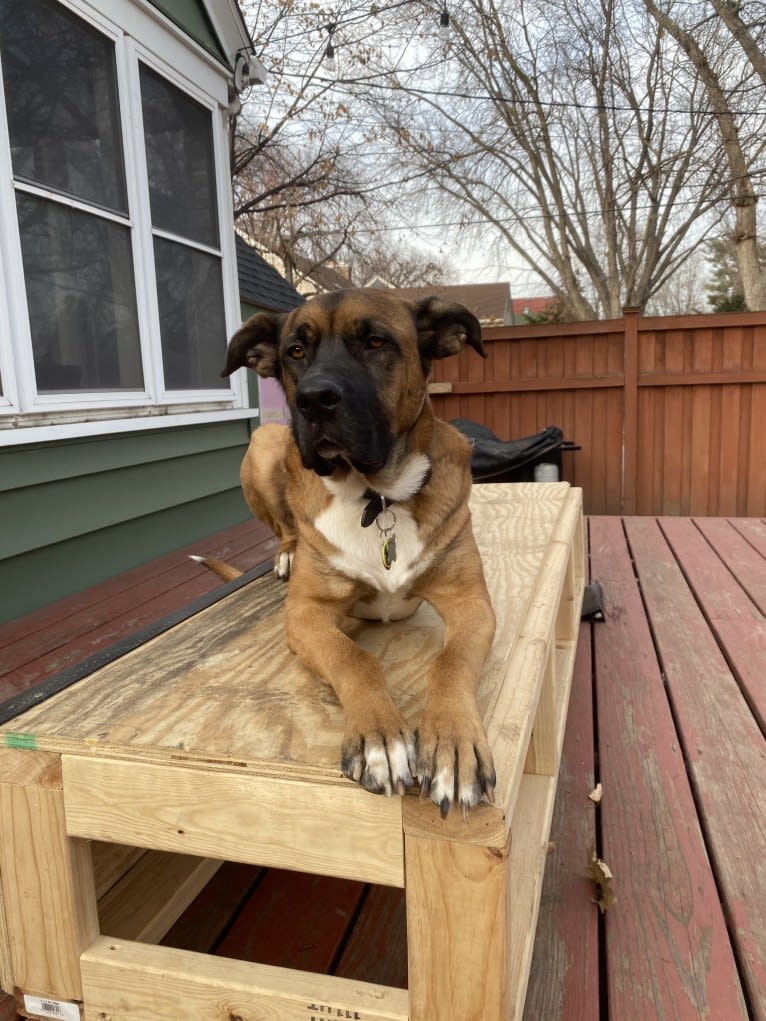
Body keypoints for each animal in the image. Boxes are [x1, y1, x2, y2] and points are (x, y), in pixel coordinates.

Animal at [221, 292, 498, 816]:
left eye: (375, 342)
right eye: (295, 351)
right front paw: (379, 736)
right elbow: (354, 658)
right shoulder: (306, 614)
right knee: (284, 527)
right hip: (264, 444)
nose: (312, 399)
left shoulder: (471, 602)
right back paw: (286, 554)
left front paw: (452, 741)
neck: (377, 494)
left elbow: (450, 662)